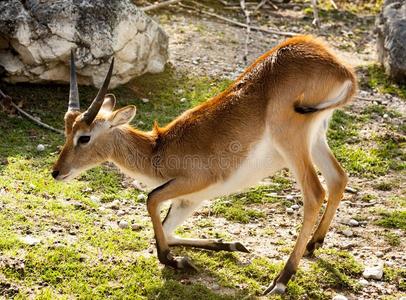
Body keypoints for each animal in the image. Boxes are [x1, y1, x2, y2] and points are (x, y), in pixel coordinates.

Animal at [53, 35, 356, 296]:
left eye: (84, 137)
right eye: (67, 130)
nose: (56, 172)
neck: (158, 151)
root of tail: (341, 68)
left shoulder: (193, 181)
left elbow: (151, 200)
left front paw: (175, 261)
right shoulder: (190, 200)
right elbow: (169, 229)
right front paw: (230, 244)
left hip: (292, 140)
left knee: (315, 193)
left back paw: (281, 280)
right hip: (316, 139)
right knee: (338, 178)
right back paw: (313, 245)